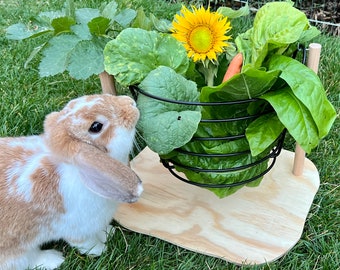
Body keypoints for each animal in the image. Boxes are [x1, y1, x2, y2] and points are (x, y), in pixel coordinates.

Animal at [0, 93, 143, 270]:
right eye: (96, 126)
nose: (130, 103)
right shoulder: (78, 230)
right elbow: (86, 244)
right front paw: (100, 249)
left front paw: (108, 233)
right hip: (17, 251)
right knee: (28, 260)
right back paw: (54, 259)